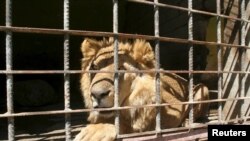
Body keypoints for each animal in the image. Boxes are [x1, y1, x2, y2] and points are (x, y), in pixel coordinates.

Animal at [74, 38, 209, 140]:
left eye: (120, 69)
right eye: (94, 68)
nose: (96, 94)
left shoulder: (171, 113)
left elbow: (127, 125)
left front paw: (97, 130)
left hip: (204, 88)